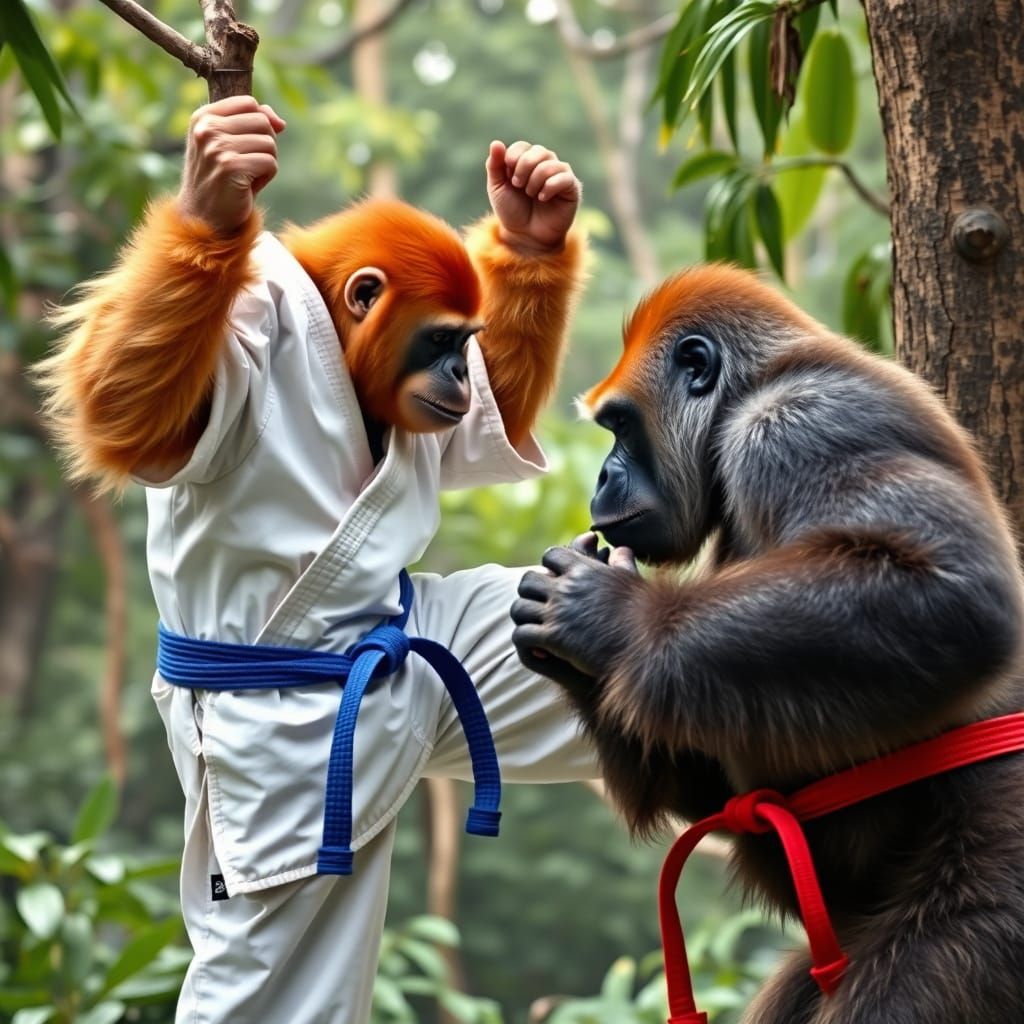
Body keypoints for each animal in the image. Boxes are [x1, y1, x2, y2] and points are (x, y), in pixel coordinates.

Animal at [33, 96, 597, 1024]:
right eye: (440, 340)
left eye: (466, 343)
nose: (455, 372)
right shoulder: (243, 350)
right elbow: (129, 416)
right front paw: (213, 204)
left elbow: (496, 417)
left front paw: (531, 218)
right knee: (266, 951)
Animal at [511, 264, 1024, 1023]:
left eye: (620, 426)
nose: (602, 476)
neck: (745, 397)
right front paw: (577, 664)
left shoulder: (793, 426)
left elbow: (955, 595)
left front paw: (611, 620)